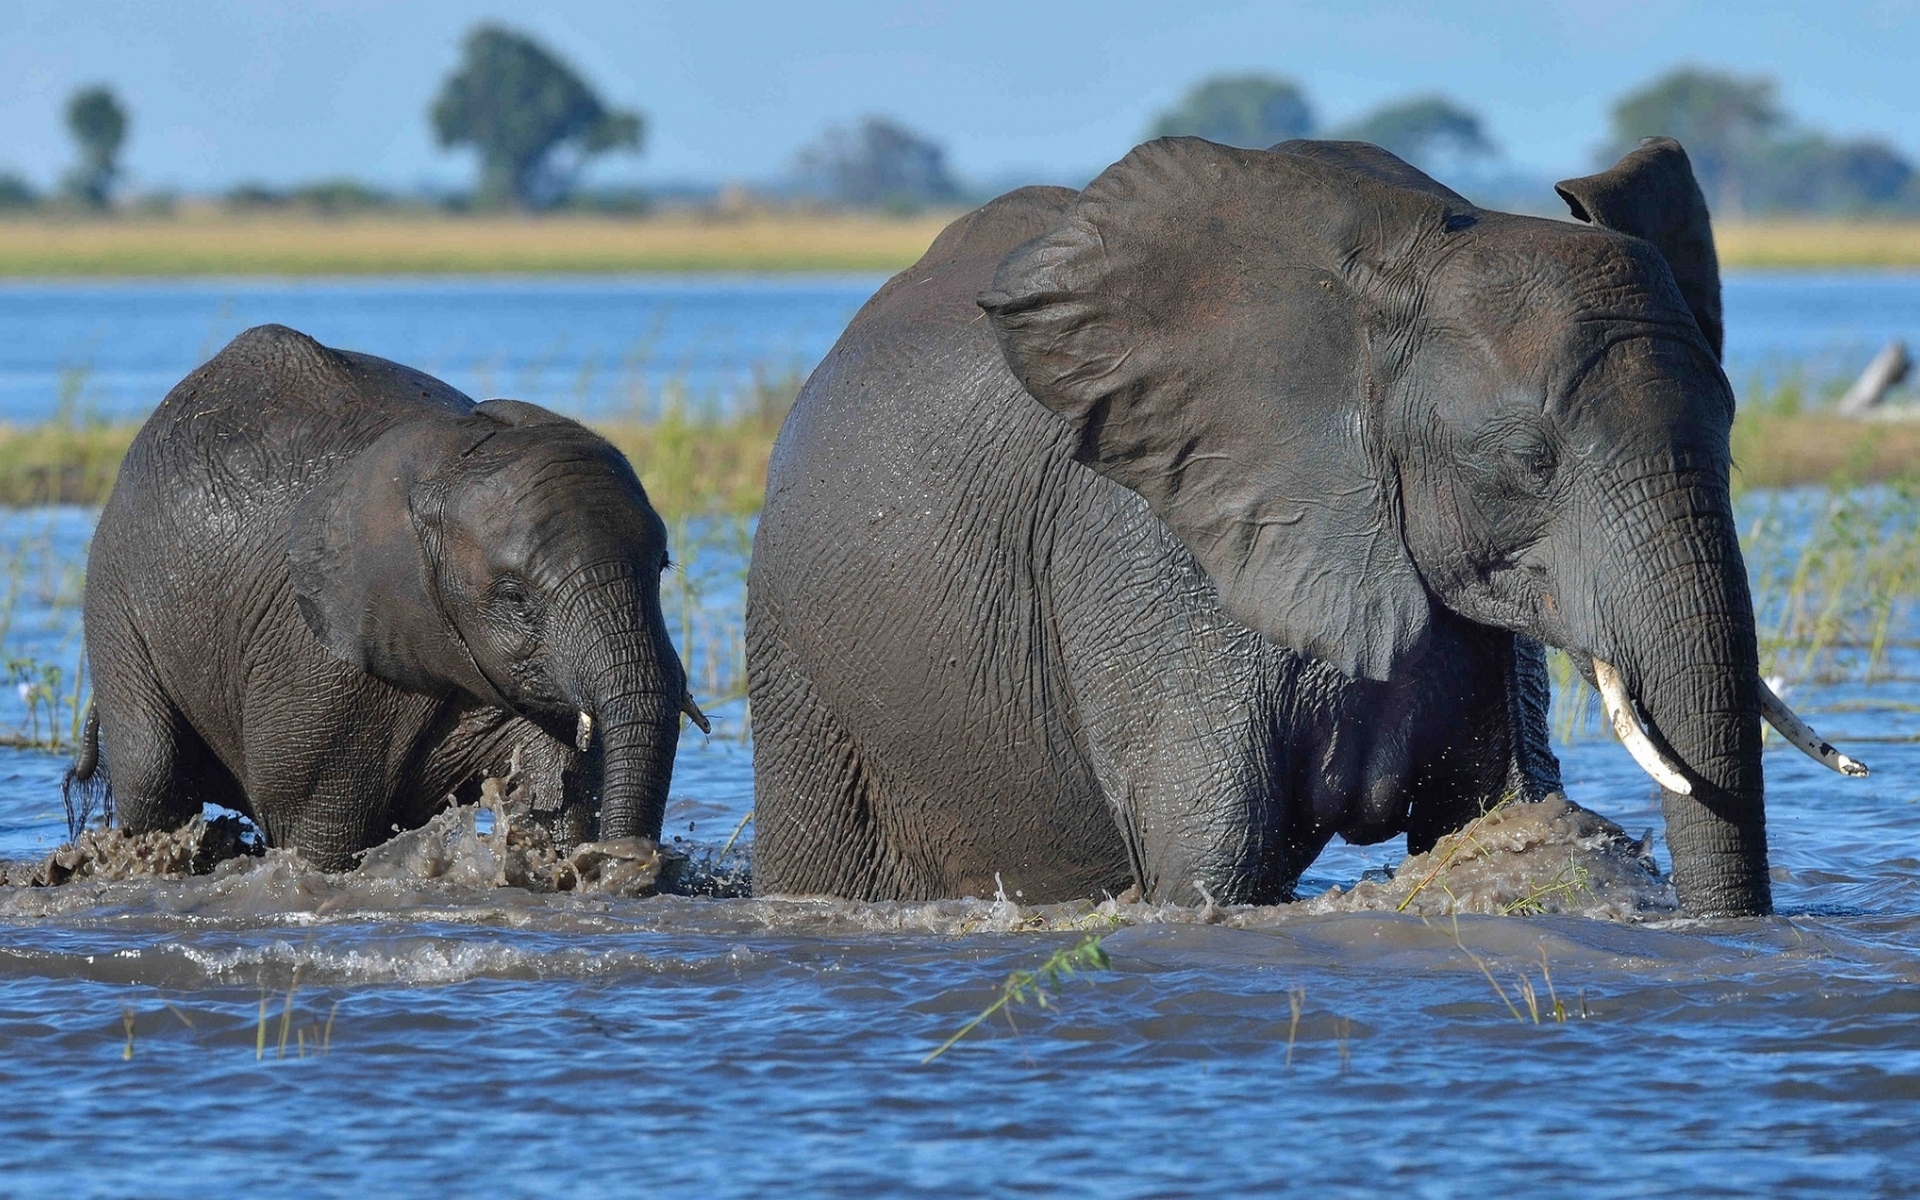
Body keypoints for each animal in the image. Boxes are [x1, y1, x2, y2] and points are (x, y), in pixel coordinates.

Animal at [78, 322, 706, 864]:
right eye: (515, 598)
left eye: (661, 569)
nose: (629, 866)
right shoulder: (317, 659)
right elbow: (316, 833)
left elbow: (561, 792)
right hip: (112, 596)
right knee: (153, 771)